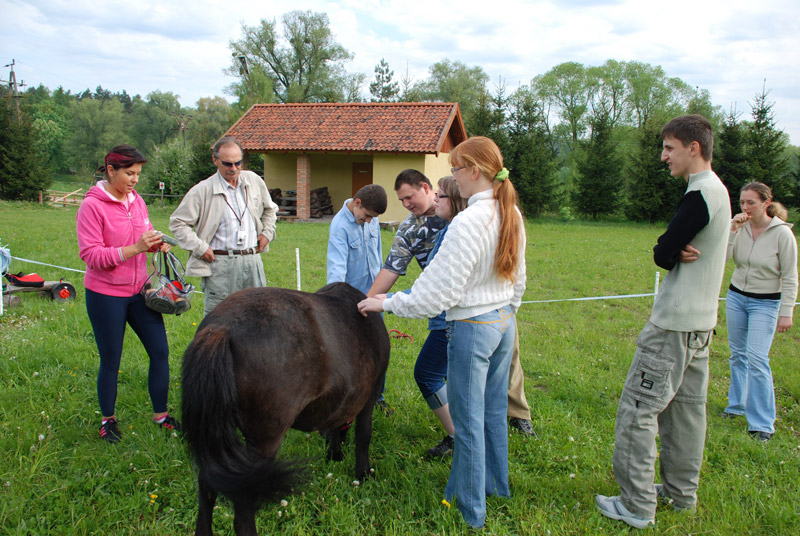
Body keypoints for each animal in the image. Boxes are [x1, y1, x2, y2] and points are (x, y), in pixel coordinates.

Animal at [182, 282, 394, 532]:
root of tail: (221, 327)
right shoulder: (368, 399)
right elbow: (363, 435)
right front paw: (363, 473)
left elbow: (335, 424)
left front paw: (334, 454)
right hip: (263, 443)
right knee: (243, 507)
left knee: (206, 491)